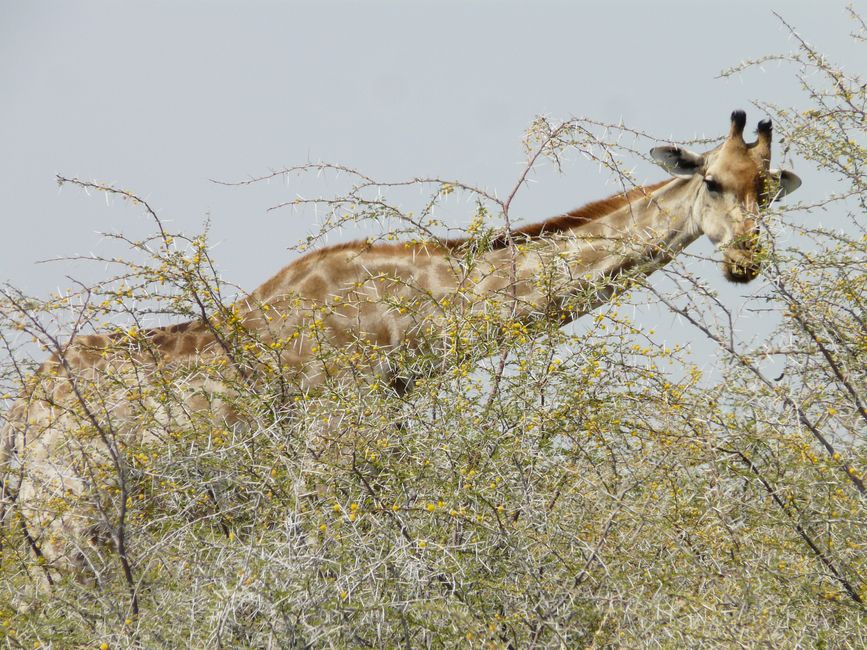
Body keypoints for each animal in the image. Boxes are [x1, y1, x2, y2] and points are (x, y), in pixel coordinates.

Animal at [0, 109, 800, 580]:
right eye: (709, 181)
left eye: (765, 190)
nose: (744, 261)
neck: (404, 325)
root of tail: (26, 411)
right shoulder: (324, 457)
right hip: (62, 516)